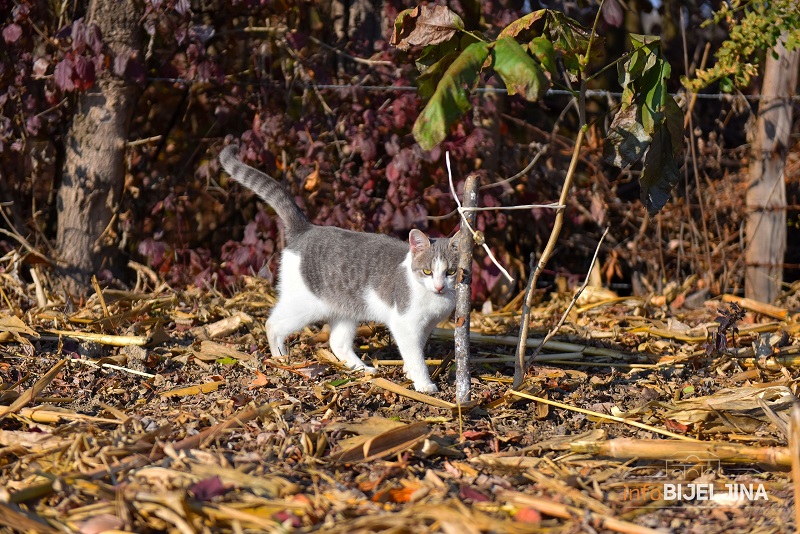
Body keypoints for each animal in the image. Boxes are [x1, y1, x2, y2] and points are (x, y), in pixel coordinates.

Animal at [217, 146, 456, 394]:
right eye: (427, 272)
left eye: (450, 272)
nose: (439, 286)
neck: (433, 298)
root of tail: (306, 229)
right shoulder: (405, 325)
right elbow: (416, 357)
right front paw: (424, 384)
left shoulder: (425, 327)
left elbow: (414, 353)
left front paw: (409, 373)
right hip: (305, 305)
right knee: (273, 324)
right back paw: (281, 358)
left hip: (345, 311)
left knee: (337, 342)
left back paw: (362, 368)